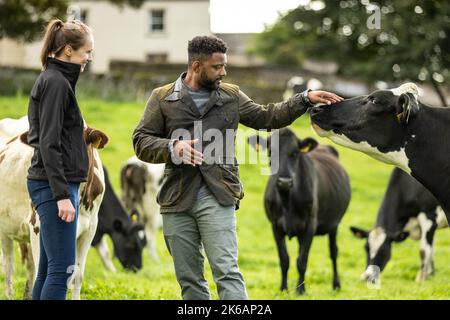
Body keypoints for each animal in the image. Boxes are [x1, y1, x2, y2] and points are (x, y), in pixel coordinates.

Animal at [250, 129, 352, 294]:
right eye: (271, 152)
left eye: (295, 153)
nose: (284, 181)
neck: (287, 201)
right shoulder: (275, 226)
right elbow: (284, 259)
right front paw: (283, 289)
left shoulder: (310, 225)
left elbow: (302, 260)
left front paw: (300, 291)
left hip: (335, 224)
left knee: (333, 252)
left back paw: (336, 285)